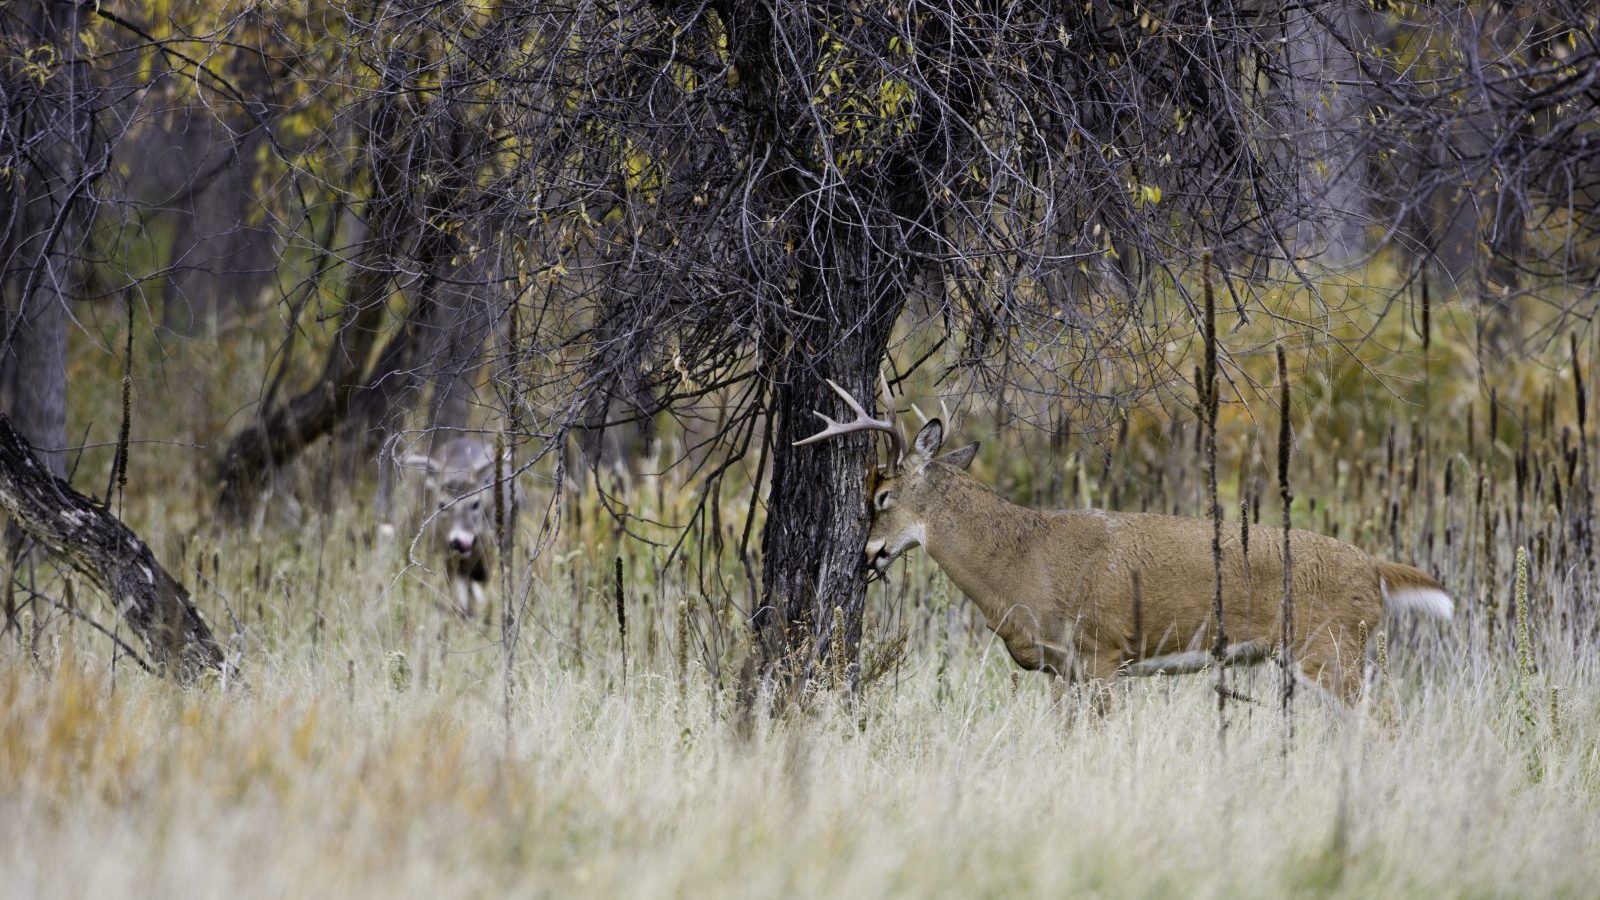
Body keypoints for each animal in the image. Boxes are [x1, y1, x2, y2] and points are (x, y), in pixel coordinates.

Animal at [796, 376, 1454, 708]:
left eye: (882, 496)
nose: (865, 554)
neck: (1020, 562)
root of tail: (1373, 570)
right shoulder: (1063, 670)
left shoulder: (1101, 651)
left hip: (1332, 649)